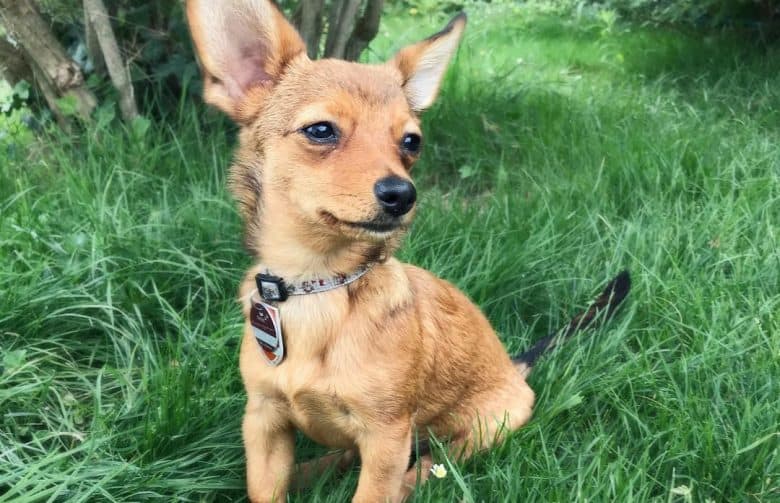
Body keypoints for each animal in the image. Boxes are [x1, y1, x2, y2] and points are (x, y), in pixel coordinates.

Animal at [186, 1, 632, 502]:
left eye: (411, 142)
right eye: (320, 130)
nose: (402, 194)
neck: (317, 287)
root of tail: (515, 369)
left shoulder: (386, 435)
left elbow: (373, 491)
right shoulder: (264, 423)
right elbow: (267, 488)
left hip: (485, 424)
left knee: (430, 463)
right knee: (346, 456)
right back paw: (310, 472)